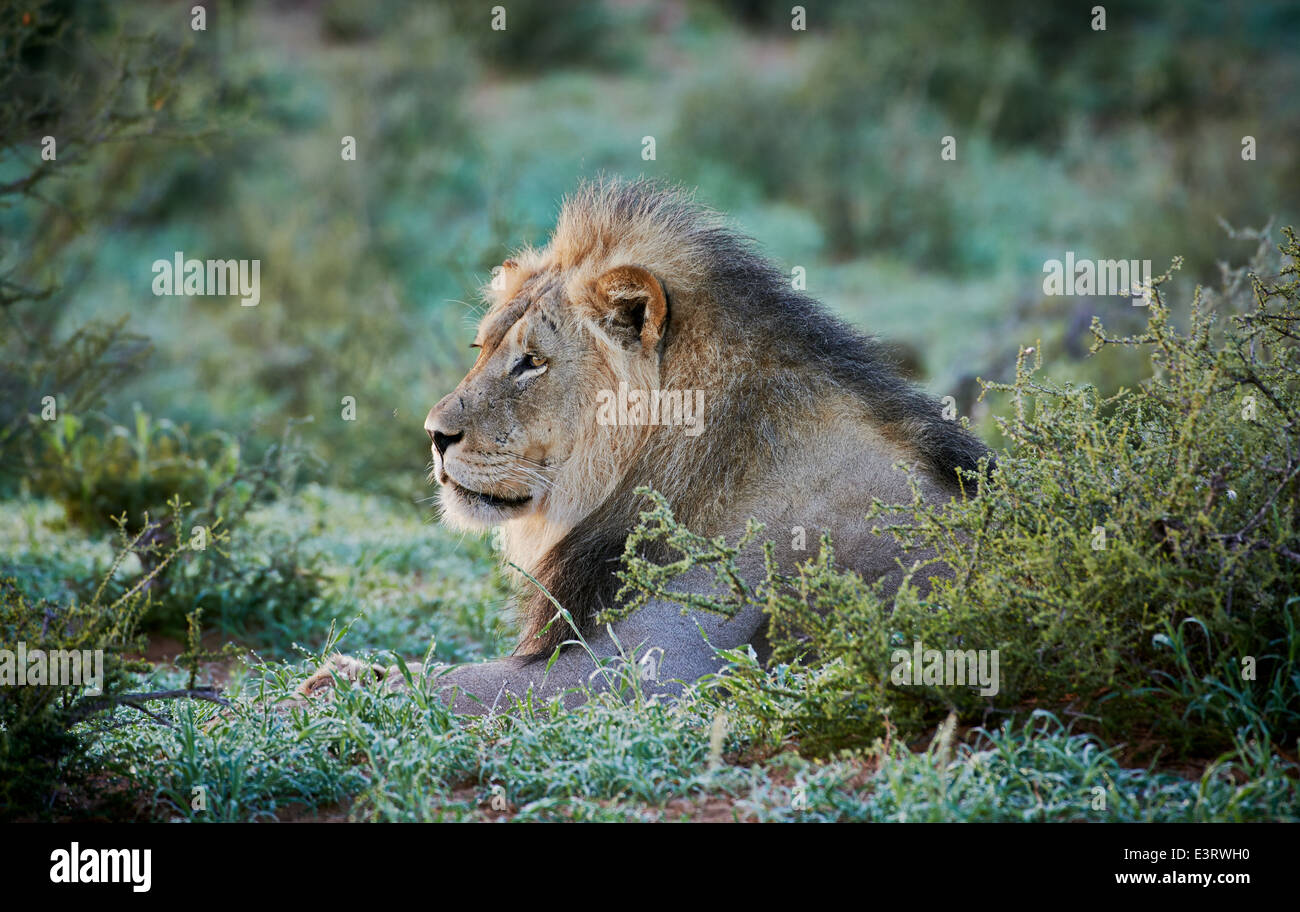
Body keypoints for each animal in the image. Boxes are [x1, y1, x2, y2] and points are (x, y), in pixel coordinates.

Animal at [299, 178, 988, 713]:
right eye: (483, 348)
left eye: (531, 362)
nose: (435, 434)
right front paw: (346, 670)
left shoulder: (650, 667)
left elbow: (453, 683)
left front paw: (330, 688)